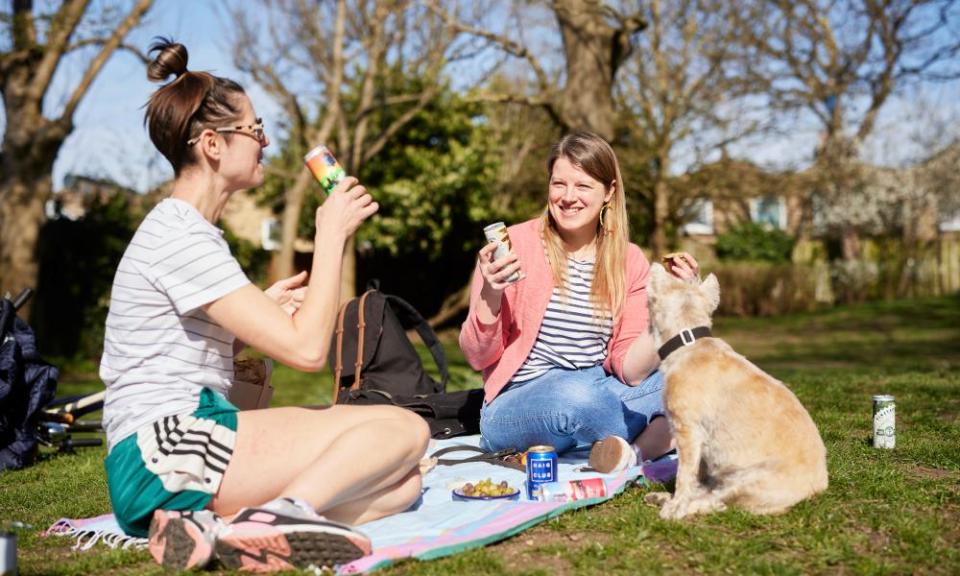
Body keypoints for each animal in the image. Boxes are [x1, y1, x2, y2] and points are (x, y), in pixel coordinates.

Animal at [644, 264, 832, 520]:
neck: (689, 342)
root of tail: (818, 488)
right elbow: (697, 478)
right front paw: (674, 500)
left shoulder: (687, 432)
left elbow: (685, 476)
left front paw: (676, 507)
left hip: (749, 479)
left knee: (719, 503)